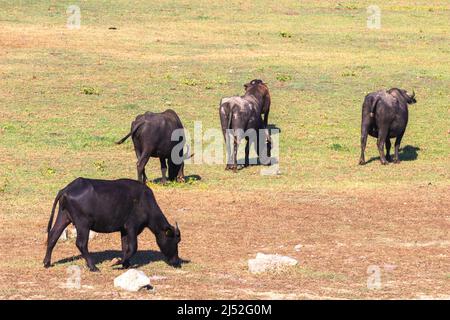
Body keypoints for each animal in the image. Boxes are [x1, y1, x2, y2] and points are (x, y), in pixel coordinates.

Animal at [43, 179, 181, 272]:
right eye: (174, 241)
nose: (177, 262)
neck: (145, 203)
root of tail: (67, 189)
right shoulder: (132, 227)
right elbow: (133, 247)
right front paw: (117, 262)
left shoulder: (124, 230)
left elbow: (125, 247)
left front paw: (126, 264)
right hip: (83, 224)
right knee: (81, 244)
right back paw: (93, 267)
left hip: (63, 217)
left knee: (53, 236)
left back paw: (47, 262)